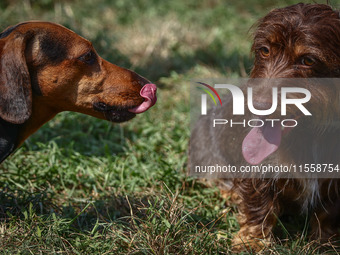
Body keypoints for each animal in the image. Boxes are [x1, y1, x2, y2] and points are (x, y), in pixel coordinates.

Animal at [190, 2, 340, 252]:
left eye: (308, 60)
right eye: (265, 50)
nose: (257, 106)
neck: (309, 134)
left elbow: (329, 212)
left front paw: (326, 242)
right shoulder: (258, 170)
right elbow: (259, 204)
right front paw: (252, 240)